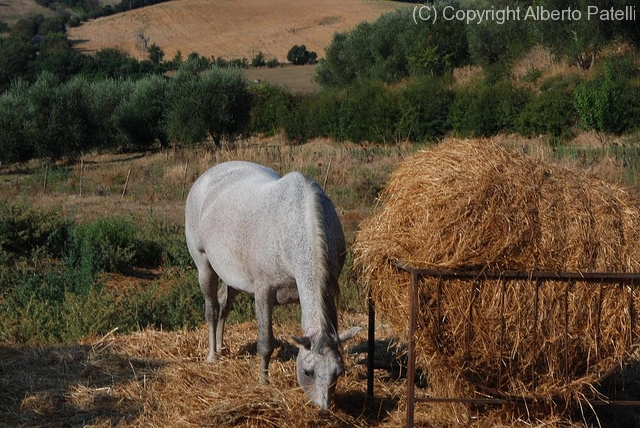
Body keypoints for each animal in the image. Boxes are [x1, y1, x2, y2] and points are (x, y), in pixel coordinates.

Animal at [185, 160, 360, 408]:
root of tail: (205, 178)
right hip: (204, 266)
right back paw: (212, 356)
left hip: (233, 278)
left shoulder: (329, 288)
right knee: (212, 309)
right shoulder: (263, 293)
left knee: (223, 306)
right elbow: (265, 342)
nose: (323, 409)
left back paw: (221, 346)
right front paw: (264, 381)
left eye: (338, 372)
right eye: (307, 372)